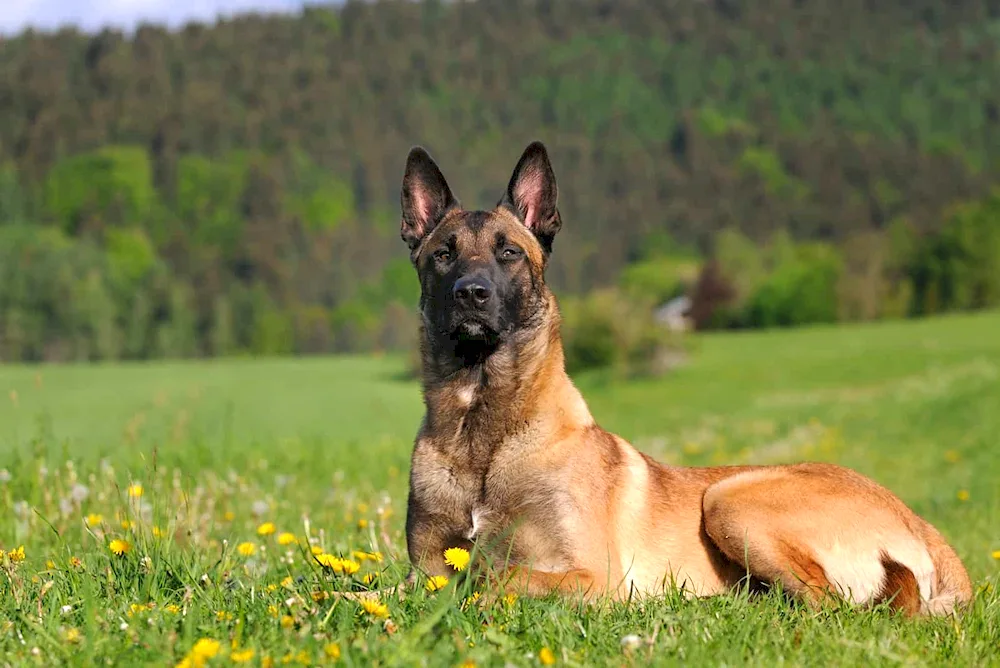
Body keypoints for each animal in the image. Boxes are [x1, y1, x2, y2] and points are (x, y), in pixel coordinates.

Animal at [396, 140, 968, 616]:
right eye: (443, 254)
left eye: (509, 252)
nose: (471, 294)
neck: (484, 432)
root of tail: (919, 523)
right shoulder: (424, 568)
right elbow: (406, 585)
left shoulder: (593, 578)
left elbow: (497, 576)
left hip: (730, 499)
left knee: (829, 604)